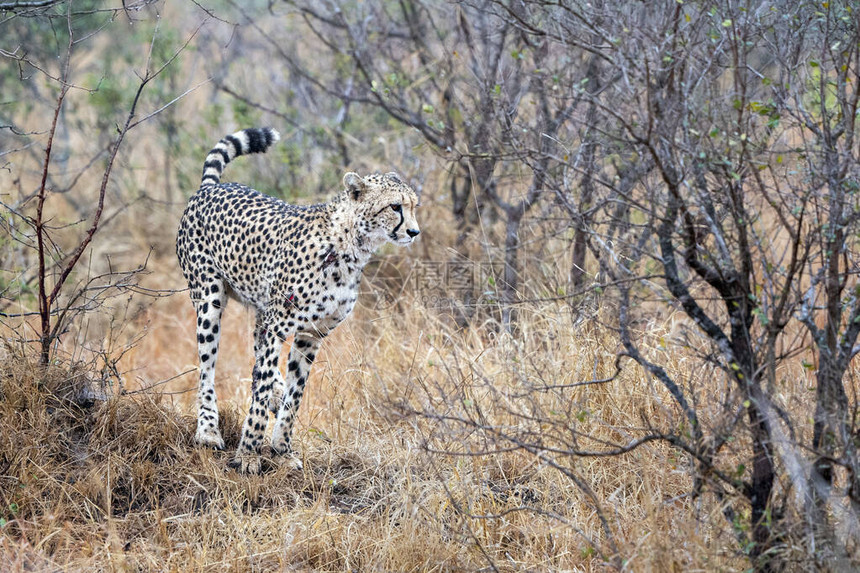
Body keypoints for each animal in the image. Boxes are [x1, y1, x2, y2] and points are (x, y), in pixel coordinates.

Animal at [176, 127, 418, 472]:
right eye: (395, 207)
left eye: (413, 206)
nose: (414, 231)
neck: (349, 246)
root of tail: (212, 187)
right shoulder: (280, 325)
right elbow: (261, 388)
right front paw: (249, 454)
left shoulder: (311, 334)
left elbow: (295, 394)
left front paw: (282, 448)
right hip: (209, 299)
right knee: (207, 368)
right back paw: (209, 431)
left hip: (262, 308)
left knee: (257, 352)